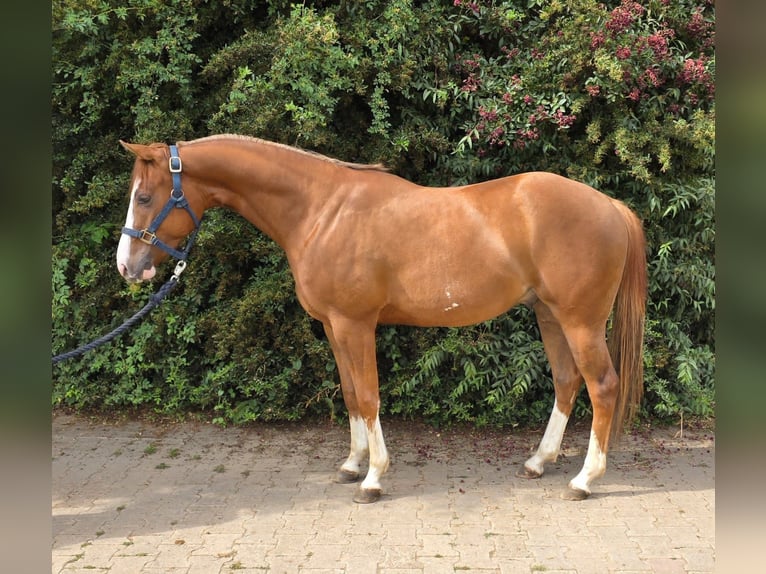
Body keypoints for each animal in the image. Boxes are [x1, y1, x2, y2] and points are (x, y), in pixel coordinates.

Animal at [116, 134, 647, 503]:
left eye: (144, 197)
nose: (127, 266)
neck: (321, 211)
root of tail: (610, 206)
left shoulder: (356, 324)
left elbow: (369, 395)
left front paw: (373, 478)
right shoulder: (333, 327)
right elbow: (351, 394)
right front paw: (353, 463)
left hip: (580, 322)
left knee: (602, 386)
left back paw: (584, 479)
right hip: (550, 316)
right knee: (566, 382)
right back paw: (540, 461)